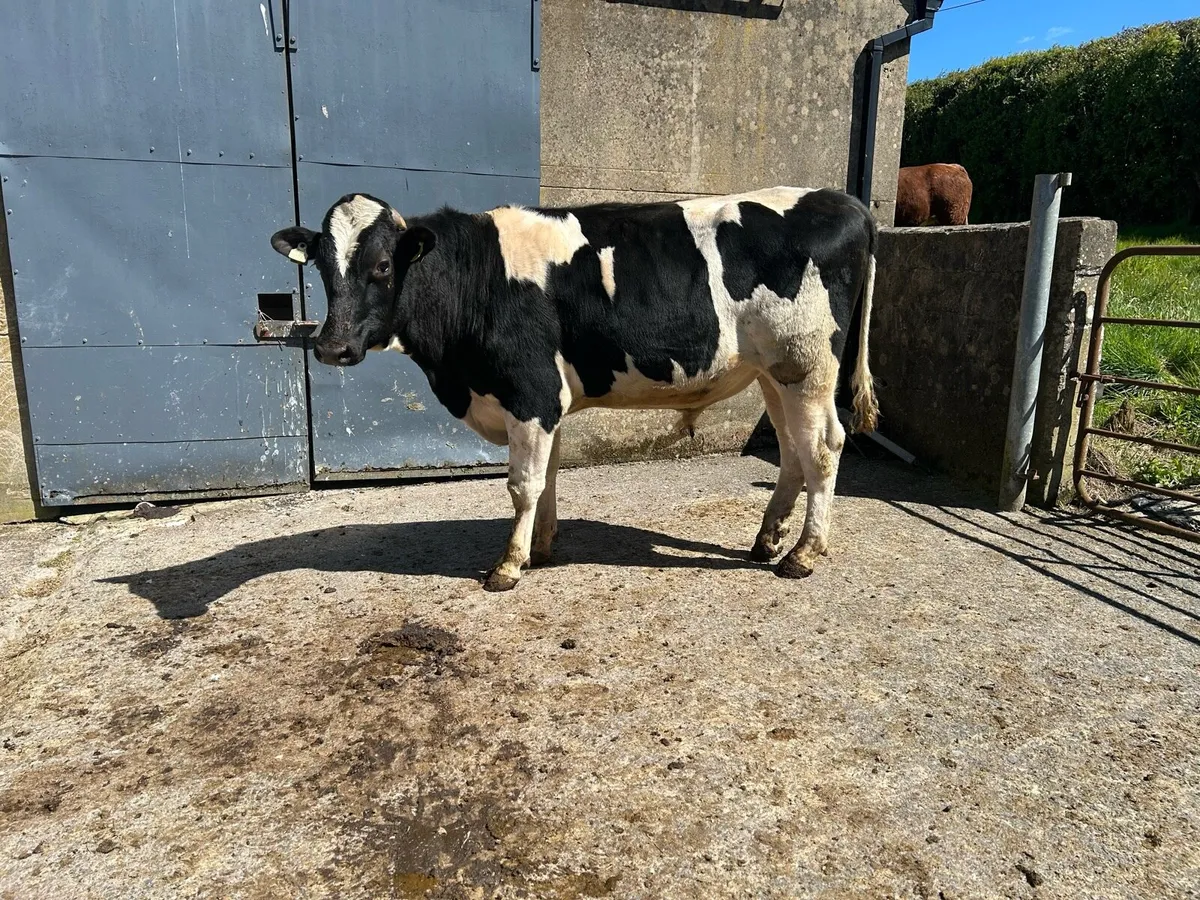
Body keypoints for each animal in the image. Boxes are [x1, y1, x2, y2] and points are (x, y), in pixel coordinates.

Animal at [269, 186, 879, 592]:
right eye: (323, 268)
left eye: (381, 264)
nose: (331, 347)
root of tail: (842, 200)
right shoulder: (546, 399)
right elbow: (548, 479)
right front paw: (540, 547)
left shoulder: (530, 391)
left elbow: (522, 485)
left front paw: (508, 565)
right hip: (775, 373)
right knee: (793, 451)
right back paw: (768, 540)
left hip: (806, 365)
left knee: (823, 448)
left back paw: (803, 554)